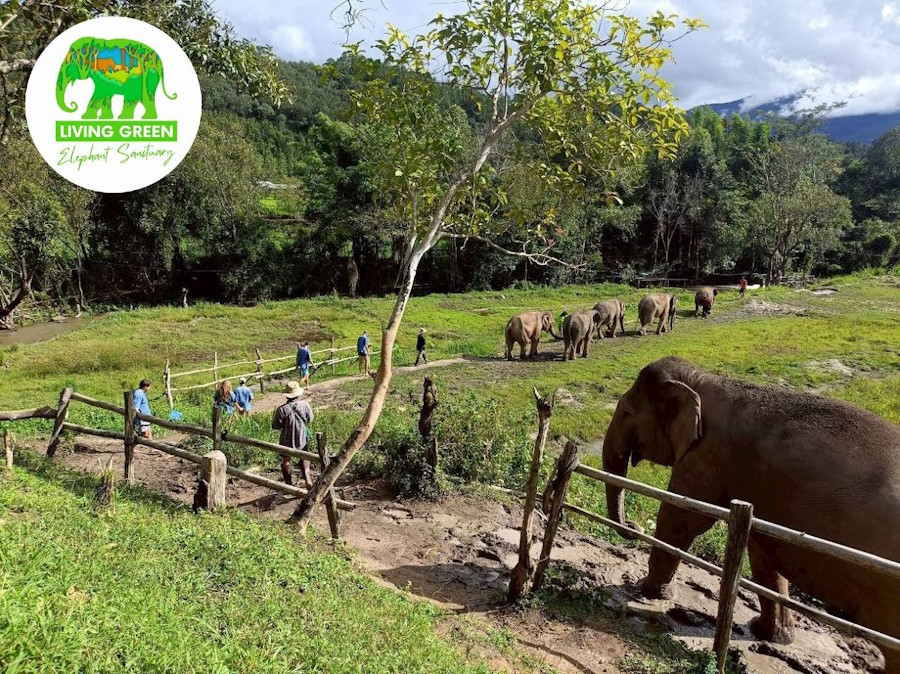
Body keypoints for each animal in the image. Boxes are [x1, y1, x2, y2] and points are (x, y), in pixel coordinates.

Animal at [602, 357, 900, 671]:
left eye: (626, 412)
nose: (635, 525)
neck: (704, 380)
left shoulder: (707, 456)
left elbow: (680, 518)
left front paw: (644, 592)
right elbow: (762, 554)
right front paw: (769, 635)